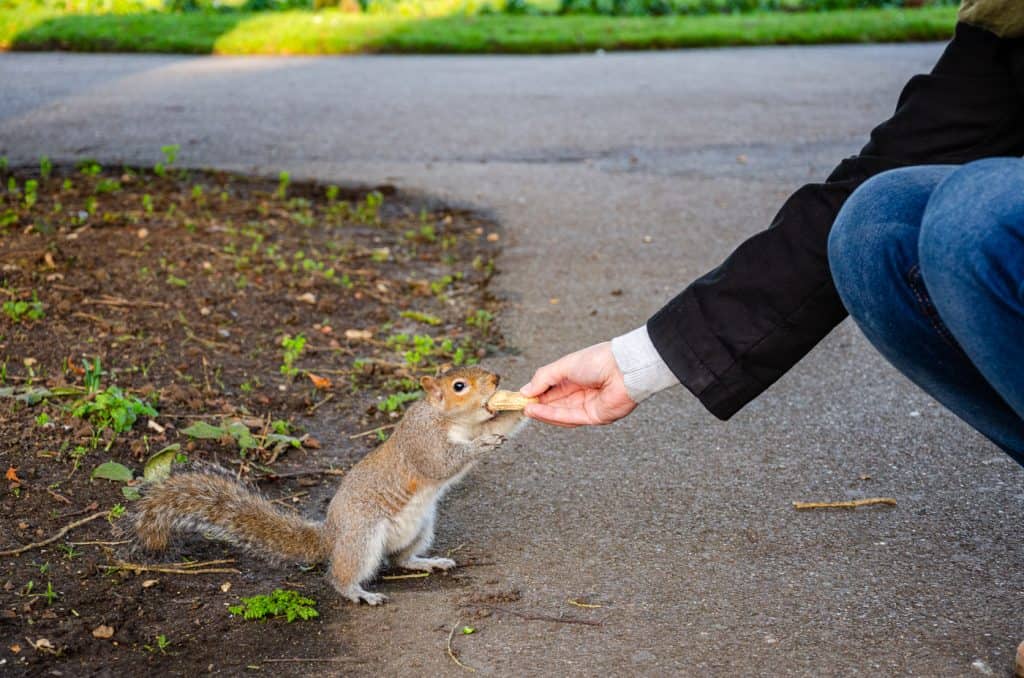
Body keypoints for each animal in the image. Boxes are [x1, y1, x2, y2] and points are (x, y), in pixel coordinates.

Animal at [133, 366, 526, 605]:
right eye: (459, 386)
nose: (496, 377)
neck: (449, 420)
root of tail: (332, 536)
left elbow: (499, 425)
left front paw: (525, 399)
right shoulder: (422, 443)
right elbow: (441, 463)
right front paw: (479, 446)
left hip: (421, 526)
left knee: (400, 559)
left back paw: (427, 562)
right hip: (363, 536)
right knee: (341, 574)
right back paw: (359, 593)